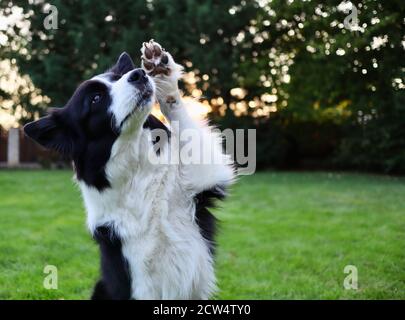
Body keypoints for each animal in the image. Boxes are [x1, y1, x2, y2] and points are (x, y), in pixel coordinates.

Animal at [24, 40, 234, 300]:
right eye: (95, 98)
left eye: (118, 77)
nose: (138, 74)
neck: (138, 168)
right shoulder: (140, 280)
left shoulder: (201, 179)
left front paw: (162, 73)